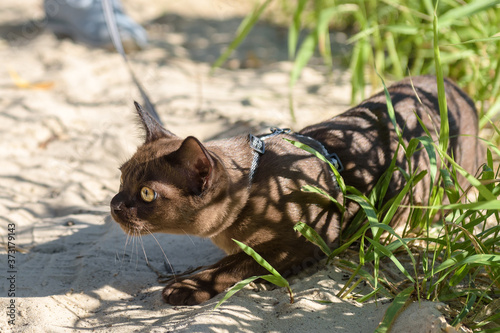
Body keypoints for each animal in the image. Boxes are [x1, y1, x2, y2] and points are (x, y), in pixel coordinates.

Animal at [110, 75, 484, 304]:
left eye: (146, 194)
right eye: (121, 177)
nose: (114, 205)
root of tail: (455, 85)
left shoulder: (302, 244)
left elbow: (236, 263)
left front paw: (187, 287)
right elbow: (233, 258)